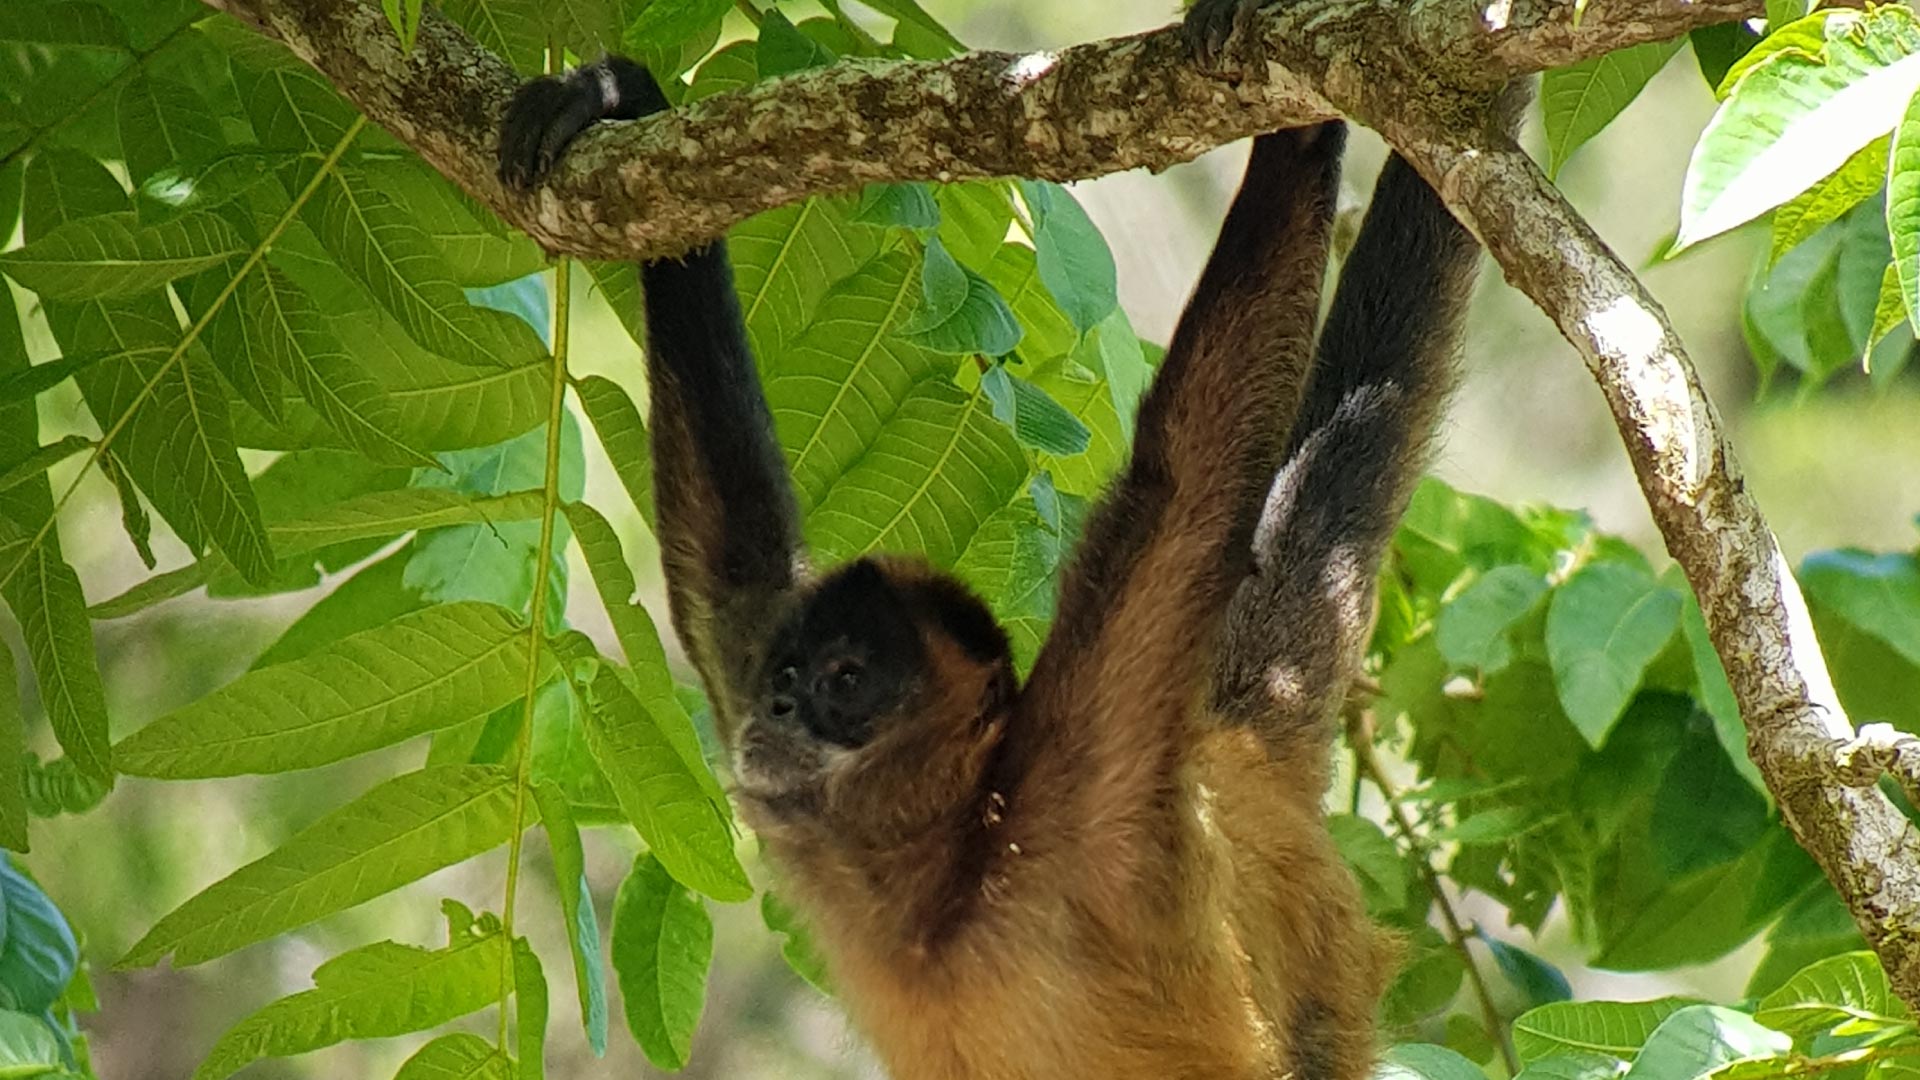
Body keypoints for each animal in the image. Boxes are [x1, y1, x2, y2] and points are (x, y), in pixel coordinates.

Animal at [495, 6, 1482, 1068]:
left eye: (849, 679)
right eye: (786, 675)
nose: (780, 710)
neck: (946, 889)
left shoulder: (1083, 776)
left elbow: (1184, 483)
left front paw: (1283, 108)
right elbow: (728, 582)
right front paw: (618, 97)